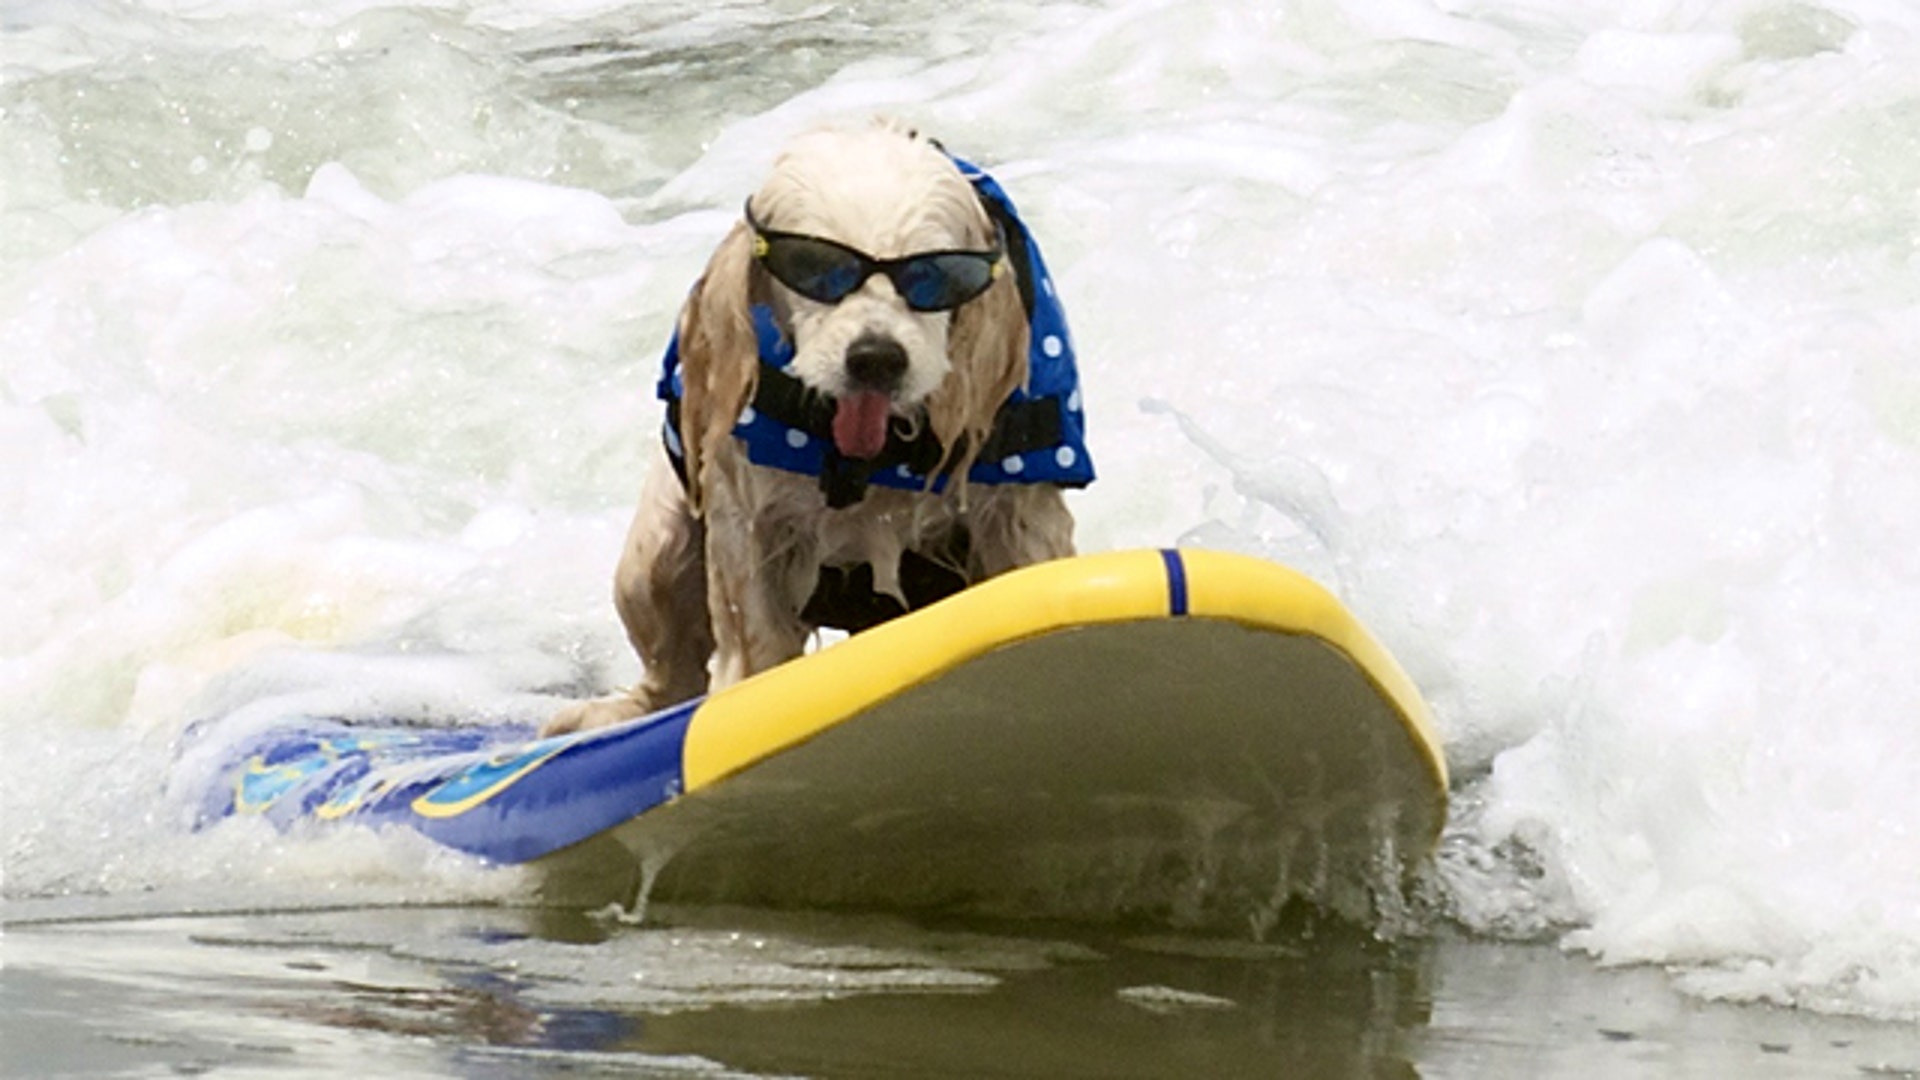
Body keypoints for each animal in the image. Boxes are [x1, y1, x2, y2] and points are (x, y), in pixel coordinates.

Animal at [552, 123, 1098, 730]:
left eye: (934, 276)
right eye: (817, 270)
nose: (876, 359)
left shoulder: (1020, 512)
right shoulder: (747, 525)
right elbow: (754, 650)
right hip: (655, 554)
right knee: (671, 673)